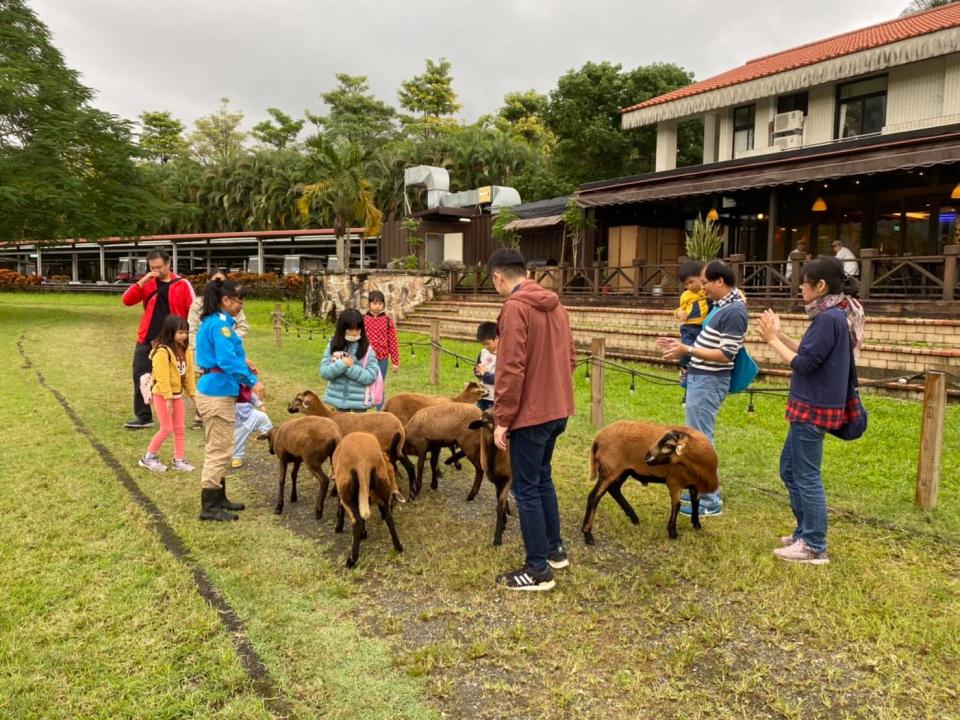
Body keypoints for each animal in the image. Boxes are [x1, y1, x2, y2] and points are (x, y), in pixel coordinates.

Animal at [332, 434, 404, 568]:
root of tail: (363, 463)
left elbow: (341, 507)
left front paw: (339, 528)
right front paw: (364, 533)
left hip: (346, 491)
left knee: (357, 521)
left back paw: (351, 560)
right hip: (381, 486)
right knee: (389, 518)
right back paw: (398, 547)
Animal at [576, 420, 720, 544]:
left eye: (668, 446)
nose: (647, 457)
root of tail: (599, 437)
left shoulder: (695, 485)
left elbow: (696, 502)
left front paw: (697, 526)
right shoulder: (674, 482)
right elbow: (677, 505)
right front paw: (673, 533)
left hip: (624, 470)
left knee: (614, 489)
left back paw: (634, 517)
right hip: (610, 470)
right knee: (594, 496)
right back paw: (587, 534)